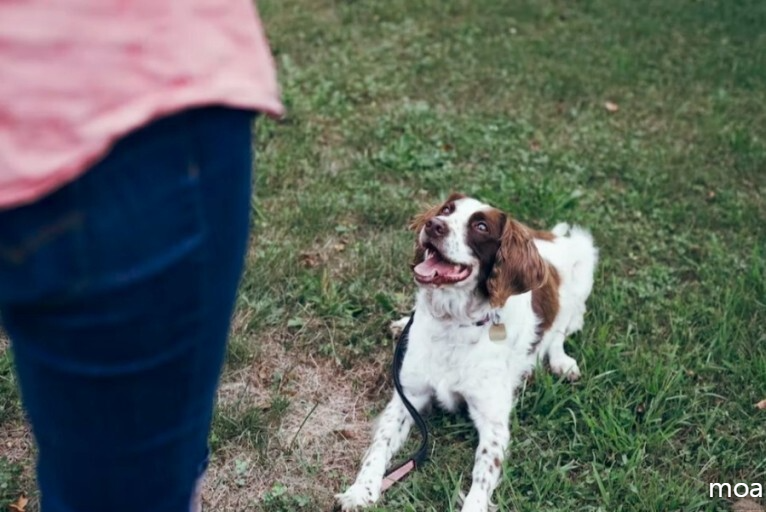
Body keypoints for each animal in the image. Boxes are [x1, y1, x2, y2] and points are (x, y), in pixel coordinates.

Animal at [338, 194, 600, 510]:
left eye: (481, 226)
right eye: (446, 210)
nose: (433, 224)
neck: (453, 322)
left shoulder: (494, 421)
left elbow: (483, 471)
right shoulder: (408, 396)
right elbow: (378, 447)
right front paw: (360, 490)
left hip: (583, 264)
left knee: (561, 329)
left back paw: (563, 362)